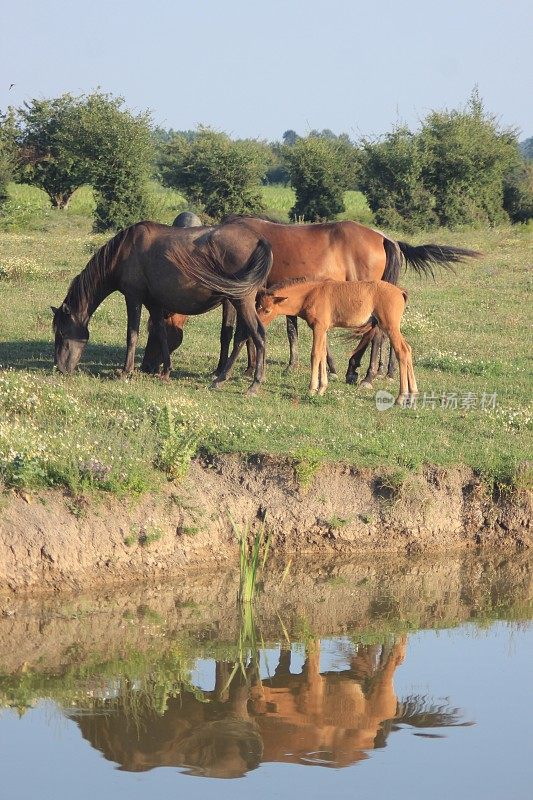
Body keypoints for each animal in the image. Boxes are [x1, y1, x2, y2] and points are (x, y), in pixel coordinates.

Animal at [51, 220, 270, 396]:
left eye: (62, 333)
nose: (60, 369)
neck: (124, 251)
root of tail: (258, 240)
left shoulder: (133, 297)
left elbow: (132, 334)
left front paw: (126, 371)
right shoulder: (154, 303)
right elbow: (162, 334)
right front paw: (165, 371)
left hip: (241, 300)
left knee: (258, 334)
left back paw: (254, 384)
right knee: (243, 336)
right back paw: (221, 379)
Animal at [141, 216, 478, 384]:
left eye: (154, 330)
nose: (147, 365)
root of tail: (383, 237)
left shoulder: (236, 297)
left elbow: (232, 333)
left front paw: (230, 369)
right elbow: (279, 331)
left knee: (376, 333)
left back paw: (367, 374)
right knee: (377, 334)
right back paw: (364, 370)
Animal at [256, 278, 416, 404]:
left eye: (267, 310)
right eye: (257, 306)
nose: (259, 326)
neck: (310, 294)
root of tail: (400, 291)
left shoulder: (319, 328)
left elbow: (315, 355)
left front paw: (311, 389)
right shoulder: (323, 330)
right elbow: (322, 355)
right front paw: (322, 388)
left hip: (390, 327)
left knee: (402, 351)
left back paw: (402, 396)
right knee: (408, 349)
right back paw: (413, 394)